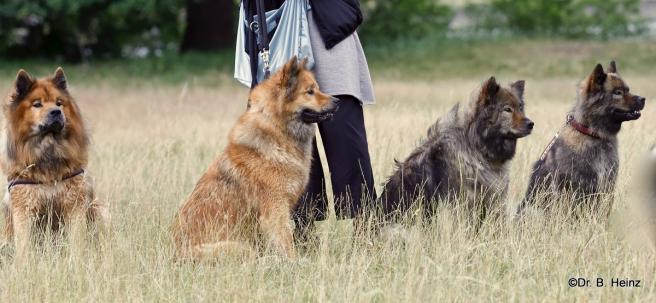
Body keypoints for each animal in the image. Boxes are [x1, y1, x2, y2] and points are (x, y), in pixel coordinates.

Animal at [0, 67, 107, 258]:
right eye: (37, 104)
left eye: (59, 103)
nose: (56, 112)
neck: (48, 148)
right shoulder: (23, 207)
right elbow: (24, 243)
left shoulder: (74, 204)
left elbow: (77, 240)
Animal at [172, 58, 338, 260]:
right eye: (310, 91)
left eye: (317, 88)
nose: (338, 101)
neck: (278, 130)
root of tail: (174, 254)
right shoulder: (275, 209)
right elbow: (286, 242)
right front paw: (295, 262)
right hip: (238, 247)